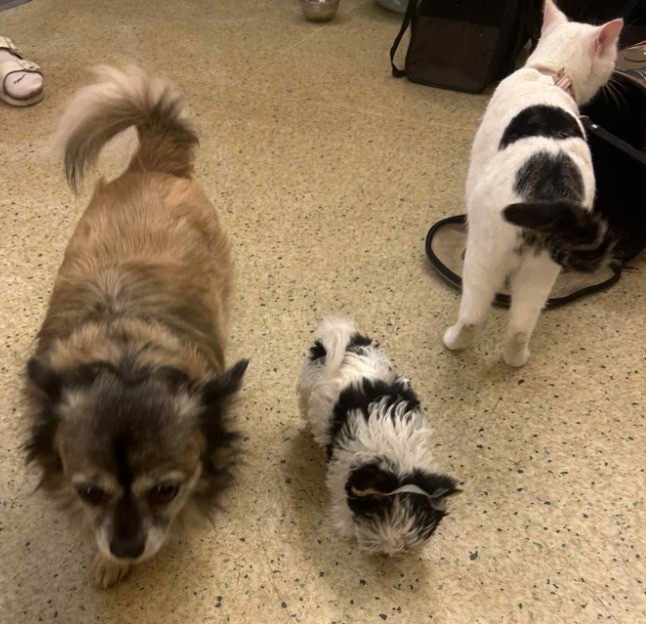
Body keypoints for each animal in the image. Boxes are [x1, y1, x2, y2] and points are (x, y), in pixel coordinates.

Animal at [23, 65, 248, 589]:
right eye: (89, 493)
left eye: (165, 490)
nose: (127, 548)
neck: (126, 356)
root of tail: (152, 164)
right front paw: (108, 560)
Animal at [298, 318, 459, 555]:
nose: (388, 551)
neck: (398, 463)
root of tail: (349, 340)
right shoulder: (342, 464)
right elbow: (340, 492)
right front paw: (344, 523)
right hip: (308, 387)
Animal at [443, 0, 623, 367]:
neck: (551, 77)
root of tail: (547, 193)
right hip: (541, 271)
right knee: (519, 329)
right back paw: (517, 358)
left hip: (486, 253)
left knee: (473, 315)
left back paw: (454, 341)